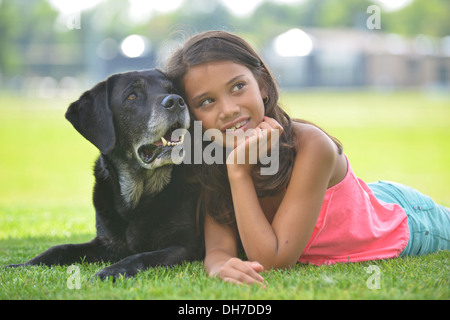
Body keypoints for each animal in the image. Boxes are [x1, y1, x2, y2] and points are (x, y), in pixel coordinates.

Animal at [7, 69, 203, 278]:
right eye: (132, 96)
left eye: (172, 90)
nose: (176, 101)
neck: (137, 198)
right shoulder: (106, 244)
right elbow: (60, 248)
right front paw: (22, 265)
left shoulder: (184, 246)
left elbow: (140, 256)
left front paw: (109, 272)